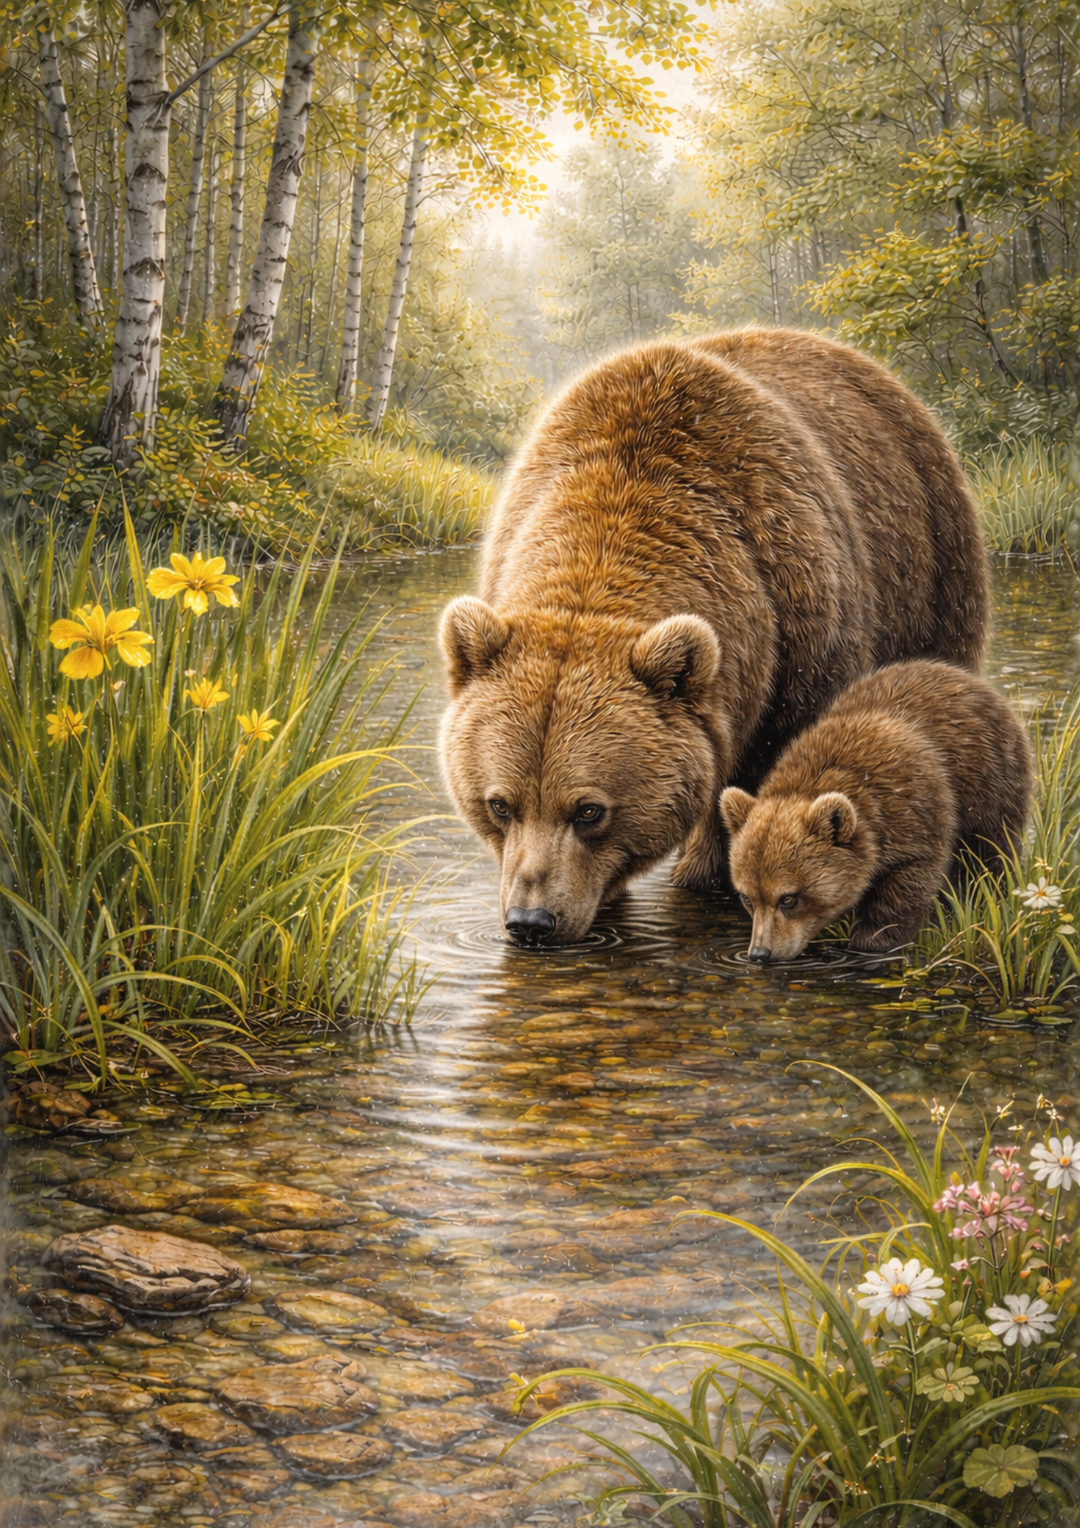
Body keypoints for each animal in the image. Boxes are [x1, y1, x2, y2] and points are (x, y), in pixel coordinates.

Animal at [439, 328, 989, 947]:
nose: (531, 922)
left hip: (935, 565)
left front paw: (705, 875)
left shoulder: (798, 633)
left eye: (589, 810)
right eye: (500, 804)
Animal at [719, 660, 1034, 959]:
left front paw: (871, 939)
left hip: (990, 779)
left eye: (788, 898)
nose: (760, 953)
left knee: (991, 849)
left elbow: (910, 878)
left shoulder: (916, 809)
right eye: (747, 897)